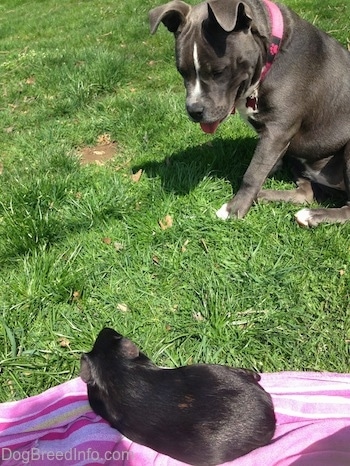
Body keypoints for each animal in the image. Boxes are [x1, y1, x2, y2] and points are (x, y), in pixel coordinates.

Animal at [149, 0, 350, 227]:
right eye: (182, 71)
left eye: (218, 71)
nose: (194, 110)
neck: (273, 50)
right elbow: (263, 165)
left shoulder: (277, 130)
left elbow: (253, 173)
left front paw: (234, 209)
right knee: (305, 193)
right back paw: (269, 198)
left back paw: (313, 215)